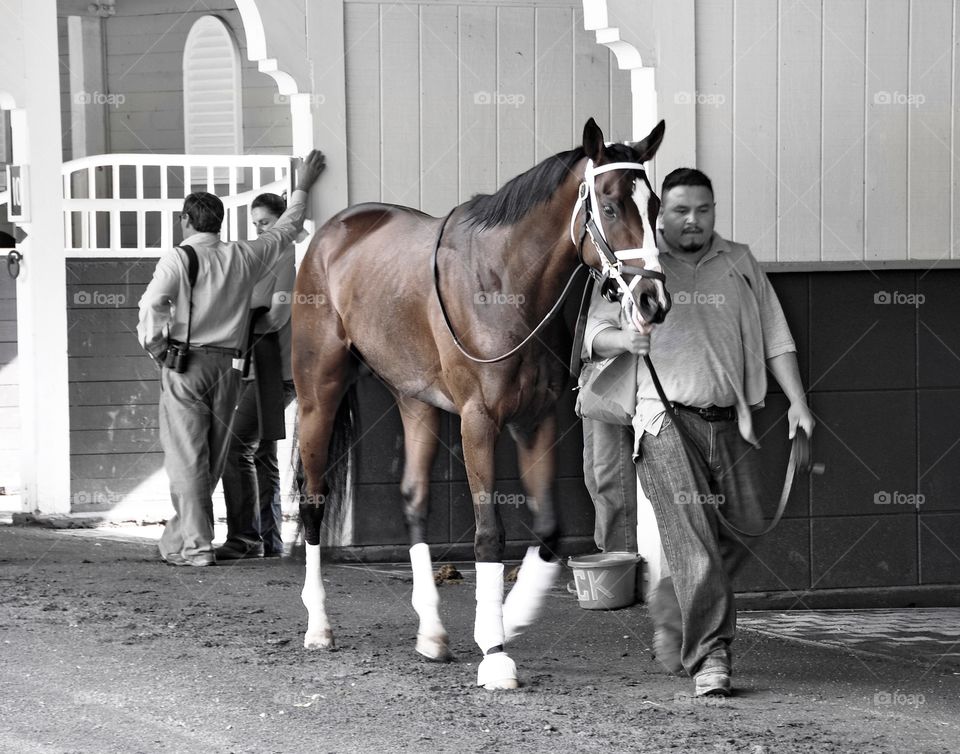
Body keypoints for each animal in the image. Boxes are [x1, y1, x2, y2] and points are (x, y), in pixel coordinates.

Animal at [290, 117, 668, 688]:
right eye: (608, 206)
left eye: (656, 206)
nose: (653, 300)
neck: (505, 285)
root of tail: (332, 232)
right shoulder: (479, 421)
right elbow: (490, 533)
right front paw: (495, 652)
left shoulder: (536, 420)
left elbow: (551, 531)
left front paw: (509, 617)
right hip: (320, 393)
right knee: (313, 499)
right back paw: (317, 626)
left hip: (415, 400)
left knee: (414, 501)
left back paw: (431, 633)